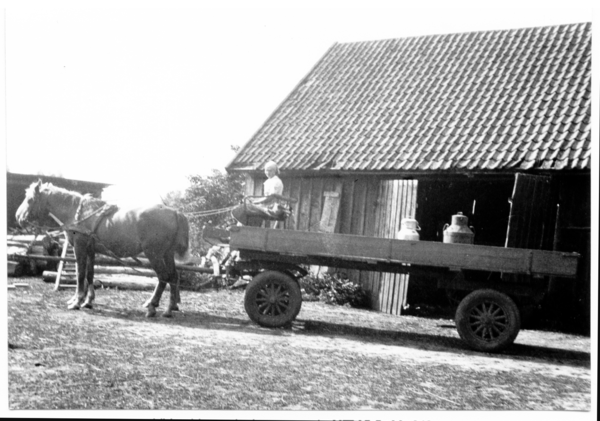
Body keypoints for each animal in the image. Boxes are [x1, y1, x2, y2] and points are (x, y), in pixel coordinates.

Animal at [15, 179, 190, 316]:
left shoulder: (80, 247)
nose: (18, 217)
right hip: (167, 254)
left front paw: (76, 302)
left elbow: (80, 274)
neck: (78, 213)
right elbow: (90, 274)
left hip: (154, 254)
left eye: (30, 199)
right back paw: (170, 308)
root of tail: (175, 212)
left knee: (163, 277)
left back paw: (153, 307)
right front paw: (88, 301)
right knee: (173, 277)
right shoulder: (91, 250)